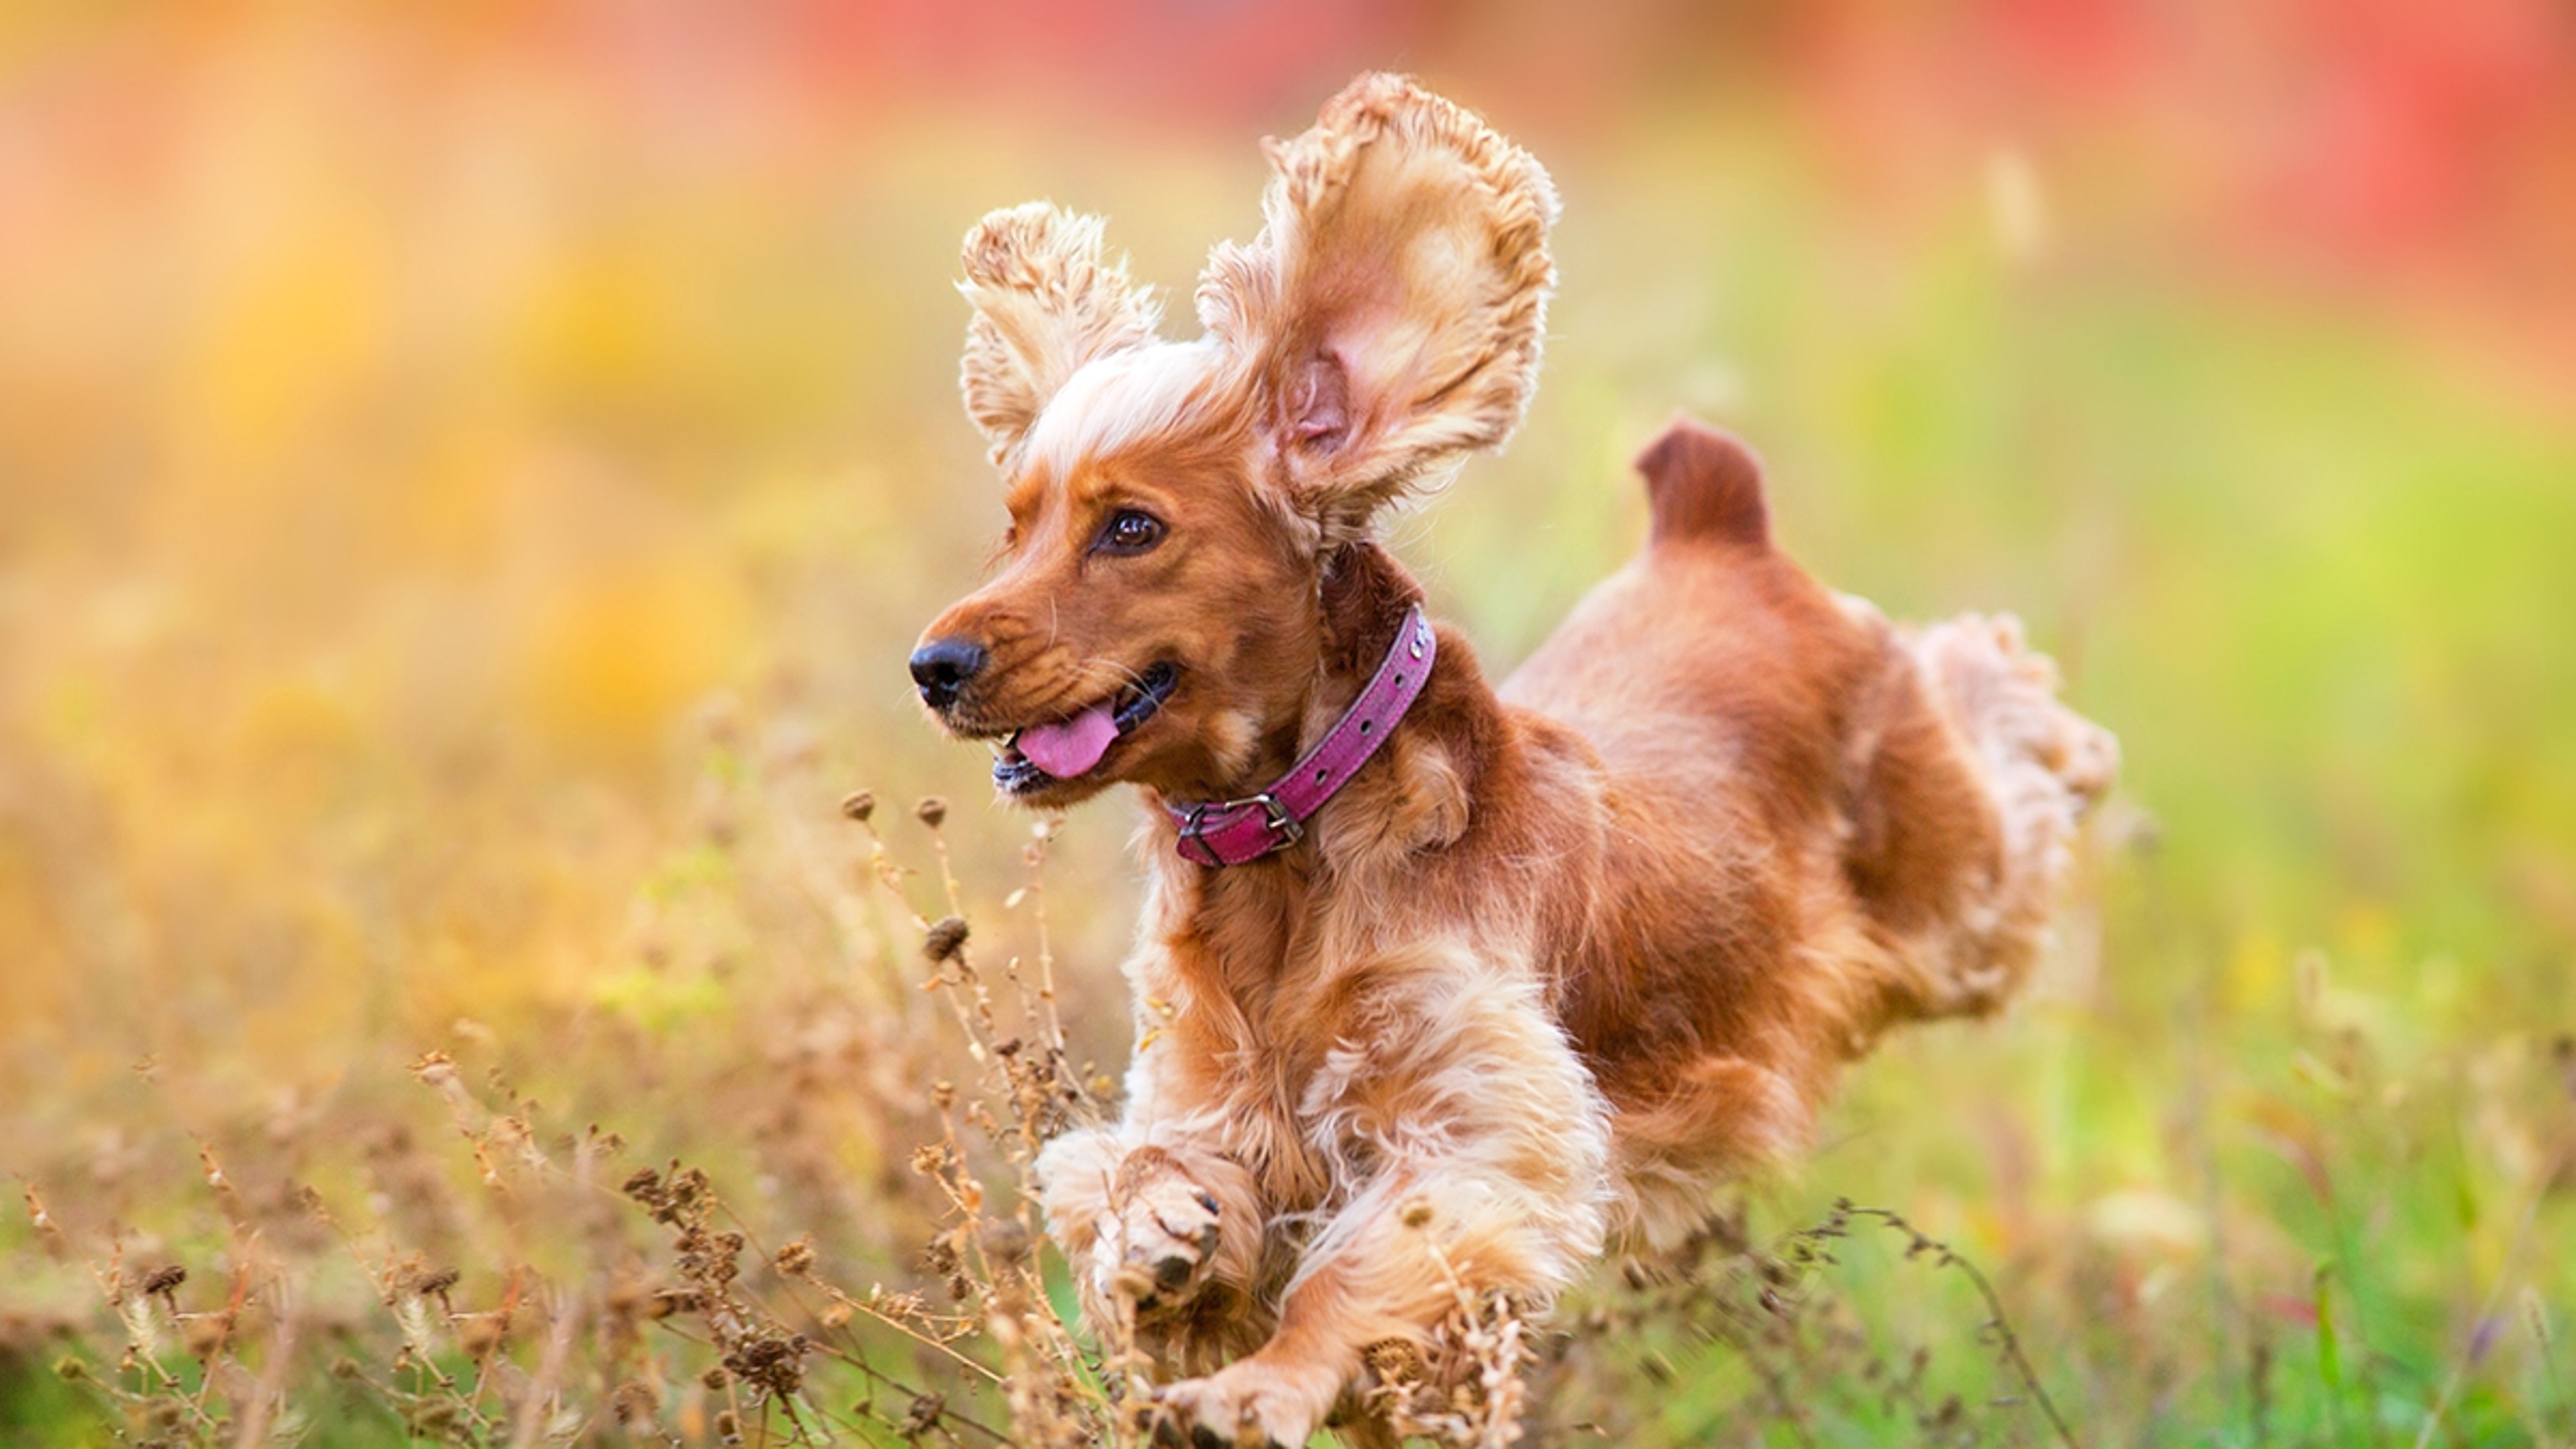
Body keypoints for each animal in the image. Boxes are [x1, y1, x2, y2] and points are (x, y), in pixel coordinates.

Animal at [906, 76, 2112, 1444]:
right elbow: (1115, 1171)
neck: (1289, 854)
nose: (933, 663)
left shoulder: (1478, 1123)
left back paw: (2064, 737)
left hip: (1956, 889)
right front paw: (1164, 1236)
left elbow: (1365, 1269)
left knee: (1994, 707)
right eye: (1016, 524)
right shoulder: (1206, 1091)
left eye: (1129, 528)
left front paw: (1253, 1390)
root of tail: (1718, 526)